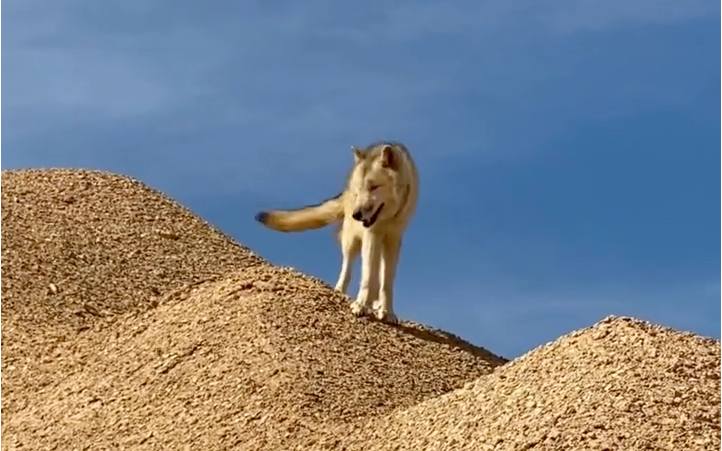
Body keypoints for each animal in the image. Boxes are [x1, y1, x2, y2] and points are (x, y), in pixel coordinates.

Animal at [256, 143, 420, 324]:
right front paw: (361, 305)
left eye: (373, 187)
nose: (356, 214)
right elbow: (367, 277)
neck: (388, 219)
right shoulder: (371, 235)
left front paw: (387, 312)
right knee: (347, 268)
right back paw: (341, 292)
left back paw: (375, 303)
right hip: (351, 241)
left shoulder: (393, 239)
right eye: (359, 190)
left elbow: (386, 282)